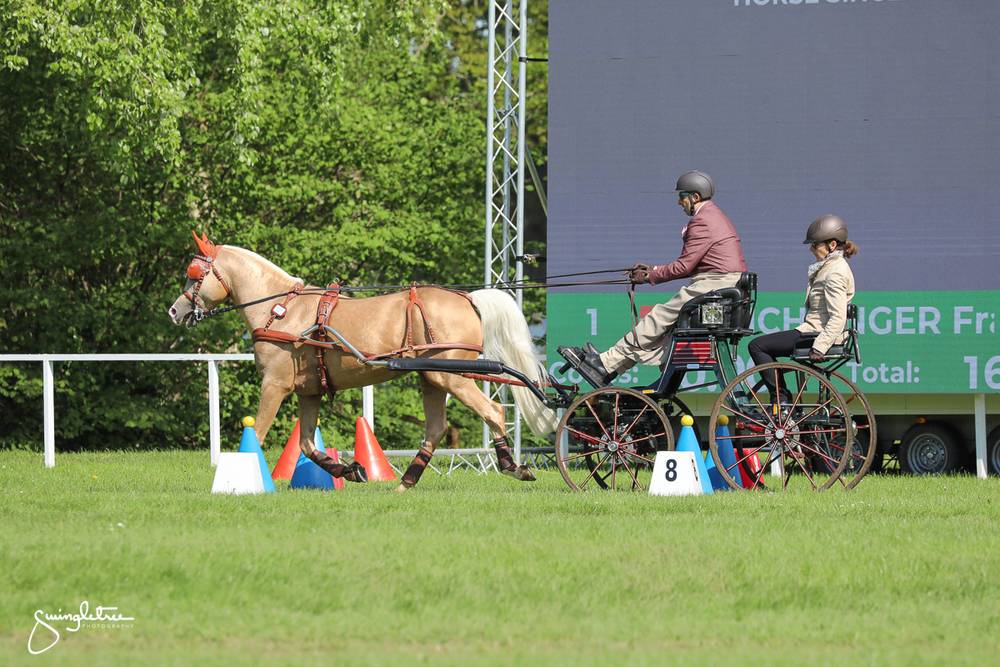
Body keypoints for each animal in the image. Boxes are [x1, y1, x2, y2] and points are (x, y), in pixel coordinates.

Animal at [169, 234, 560, 490]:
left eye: (195, 272)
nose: (175, 310)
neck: (280, 311)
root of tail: (469, 298)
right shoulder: (308, 393)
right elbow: (307, 445)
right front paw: (351, 470)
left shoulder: (274, 386)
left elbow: (259, 433)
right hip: (433, 378)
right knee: (435, 429)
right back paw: (405, 482)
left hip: (453, 377)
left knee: (492, 412)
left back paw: (513, 467)